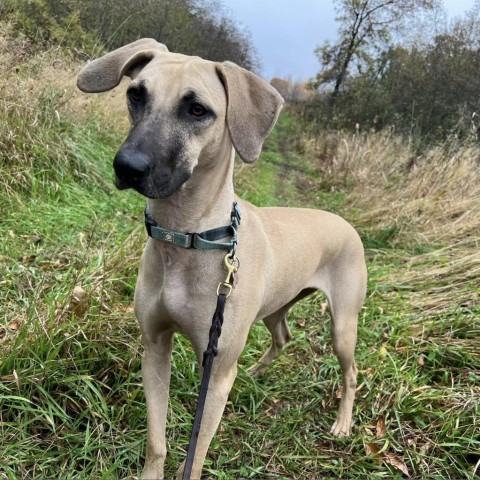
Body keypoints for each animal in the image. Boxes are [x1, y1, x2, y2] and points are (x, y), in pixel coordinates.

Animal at [78, 38, 368, 480]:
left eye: (197, 110)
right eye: (136, 94)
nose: (127, 166)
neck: (188, 238)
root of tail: (346, 223)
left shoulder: (214, 376)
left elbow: (195, 454)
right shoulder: (155, 347)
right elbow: (157, 442)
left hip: (343, 326)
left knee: (351, 373)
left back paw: (343, 422)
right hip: (275, 308)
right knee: (283, 336)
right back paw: (257, 372)